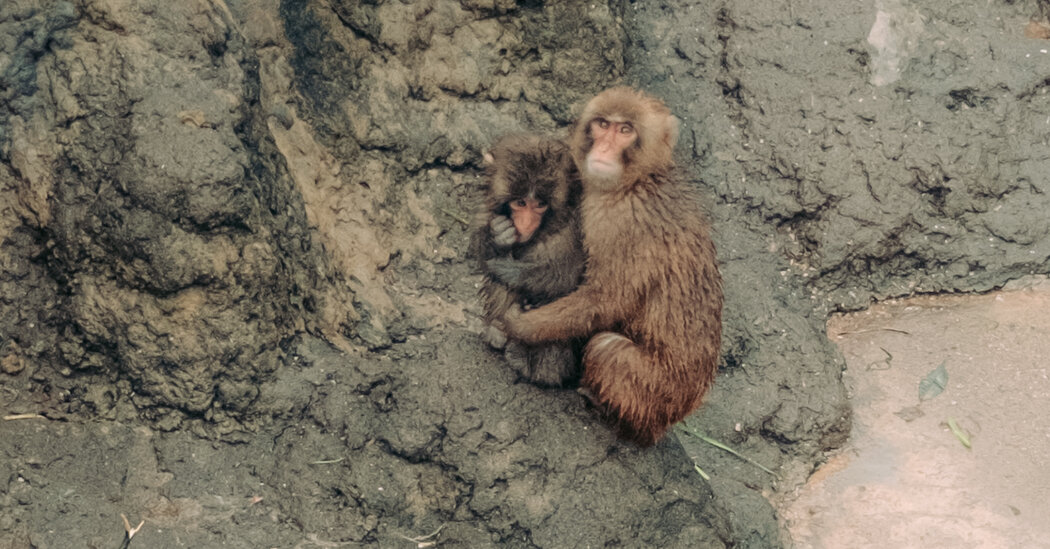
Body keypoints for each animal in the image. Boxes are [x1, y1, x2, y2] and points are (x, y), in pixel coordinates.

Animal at [473, 134, 587, 387]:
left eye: (540, 205)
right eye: (520, 203)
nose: (525, 224)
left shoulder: (576, 228)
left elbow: (564, 276)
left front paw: (506, 268)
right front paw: (498, 236)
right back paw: (496, 332)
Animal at [500, 87, 723, 447]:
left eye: (625, 130)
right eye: (603, 124)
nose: (603, 148)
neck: (636, 182)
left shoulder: (621, 224)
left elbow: (606, 299)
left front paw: (520, 325)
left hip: (655, 395)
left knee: (607, 348)